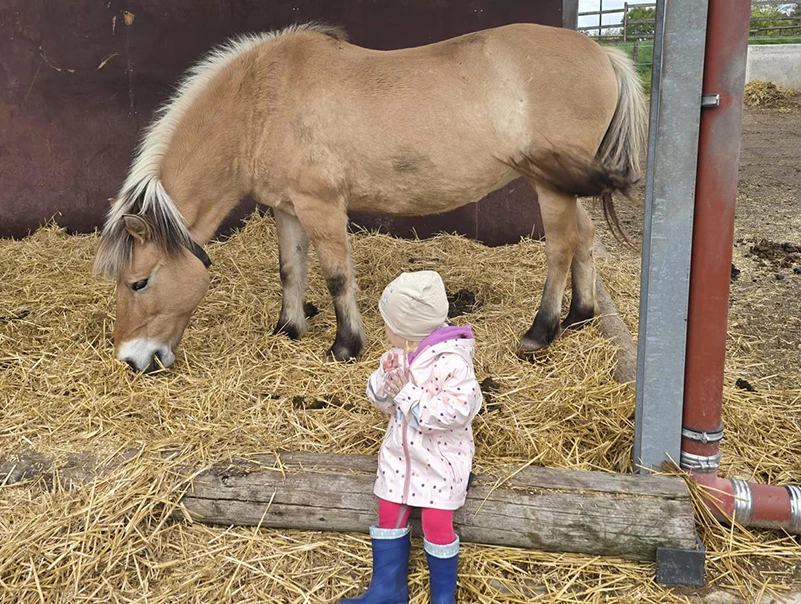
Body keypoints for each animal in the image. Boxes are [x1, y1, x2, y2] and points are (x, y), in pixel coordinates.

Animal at [94, 22, 646, 373]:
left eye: (139, 282)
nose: (132, 360)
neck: (261, 104)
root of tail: (603, 53)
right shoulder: (287, 208)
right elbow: (291, 269)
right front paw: (288, 329)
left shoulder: (321, 205)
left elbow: (337, 275)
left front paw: (344, 346)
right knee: (585, 238)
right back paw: (580, 316)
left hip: (550, 187)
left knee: (560, 247)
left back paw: (541, 332)